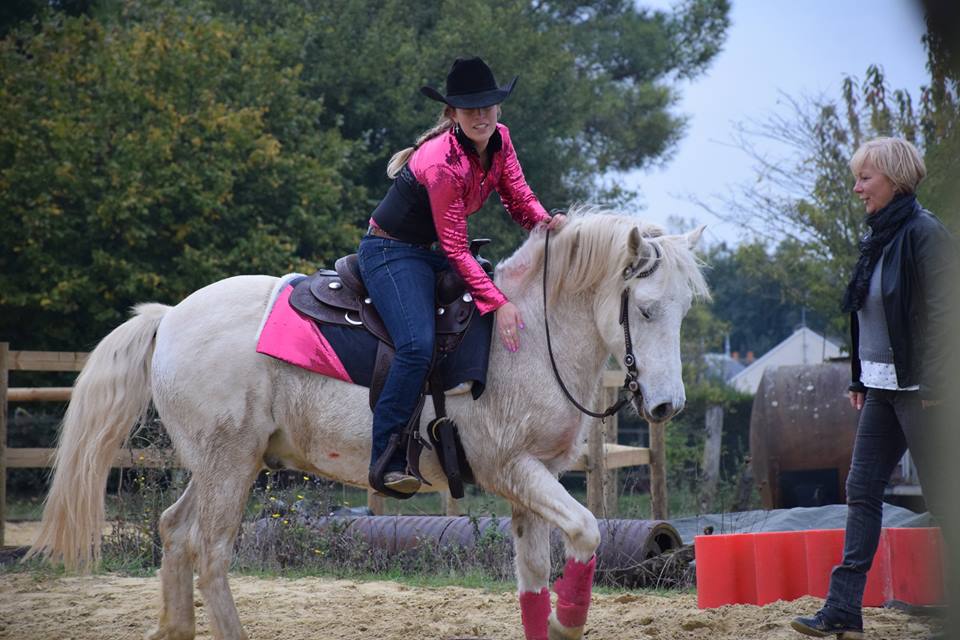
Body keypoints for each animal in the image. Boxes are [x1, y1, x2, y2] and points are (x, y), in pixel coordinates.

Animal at [28, 209, 704, 640]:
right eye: (645, 309)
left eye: (684, 311)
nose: (666, 407)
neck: (528, 337)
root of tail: (169, 317)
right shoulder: (513, 470)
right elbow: (587, 532)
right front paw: (571, 621)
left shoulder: (530, 485)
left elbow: (534, 580)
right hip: (229, 465)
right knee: (210, 549)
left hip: (219, 463)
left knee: (173, 530)